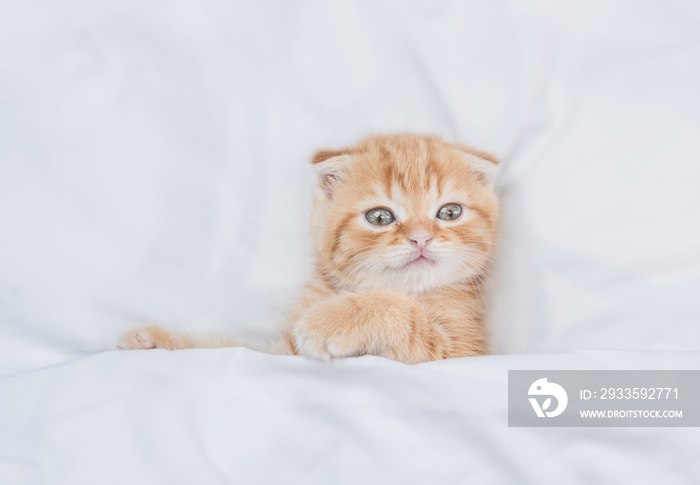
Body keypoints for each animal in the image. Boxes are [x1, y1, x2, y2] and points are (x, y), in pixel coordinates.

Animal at [121, 134, 504, 362]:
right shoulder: (281, 352)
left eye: (450, 212)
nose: (421, 238)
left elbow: (403, 314)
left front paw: (334, 320)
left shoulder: (463, 350)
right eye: (380, 217)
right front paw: (160, 340)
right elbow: (235, 348)